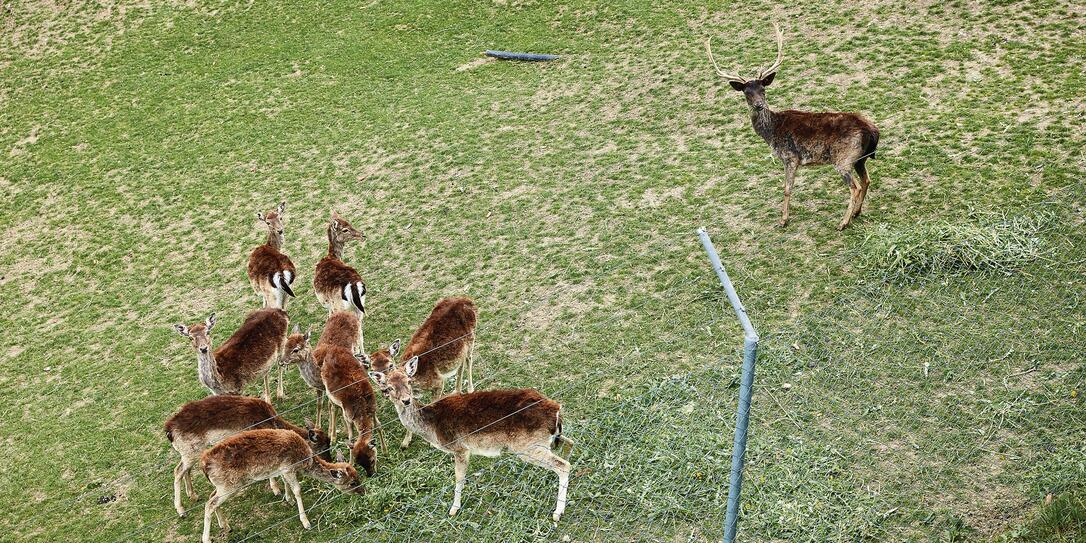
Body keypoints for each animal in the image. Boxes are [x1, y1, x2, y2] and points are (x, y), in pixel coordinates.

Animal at [158, 395, 325, 516]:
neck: (270, 419)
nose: (328, 461)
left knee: (185, 470)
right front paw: (276, 489)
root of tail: (168, 430)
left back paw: (193, 495)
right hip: (190, 452)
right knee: (178, 471)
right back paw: (181, 510)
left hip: (192, 453)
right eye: (323, 447)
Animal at [198, 430, 360, 540]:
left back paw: (225, 525)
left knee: (211, 496)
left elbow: (285, 482)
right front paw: (306, 522)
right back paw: (207, 539)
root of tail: (204, 464)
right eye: (352, 483)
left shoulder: (282, 468)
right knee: (210, 503)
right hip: (229, 485)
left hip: (222, 486)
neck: (304, 459)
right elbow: (298, 489)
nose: (362, 491)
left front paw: (288, 499)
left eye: (357, 475)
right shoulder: (288, 467)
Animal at [369, 358, 573, 523]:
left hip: (527, 446)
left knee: (563, 465)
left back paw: (557, 512)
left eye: (409, 381)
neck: (432, 428)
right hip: (546, 440)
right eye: (388, 387)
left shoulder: (460, 447)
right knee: (569, 444)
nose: (406, 400)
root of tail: (556, 408)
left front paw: (453, 509)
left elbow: (459, 477)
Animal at [388, 297, 477, 449]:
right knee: (460, 364)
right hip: (460, 349)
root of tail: (467, 299)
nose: (403, 400)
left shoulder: (438, 382)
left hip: (471, 338)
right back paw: (456, 391)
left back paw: (470, 389)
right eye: (389, 387)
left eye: (408, 382)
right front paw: (405, 442)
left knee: (468, 360)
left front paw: (431, 442)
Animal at [703, 22, 881, 229]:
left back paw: (843, 222)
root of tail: (872, 131)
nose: (759, 105)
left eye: (763, 89)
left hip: (843, 158)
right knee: (867, 180)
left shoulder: (790, 157)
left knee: (855, 186)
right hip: (860, 158)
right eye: (746, 92)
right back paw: (856, 213)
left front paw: (783, 220)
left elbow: (787, 188)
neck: (771, 132)